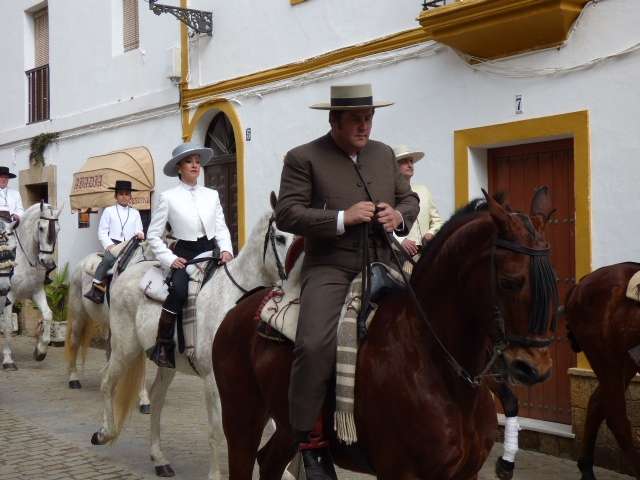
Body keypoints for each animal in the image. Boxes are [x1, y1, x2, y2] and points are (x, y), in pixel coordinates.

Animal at [1, 202, 60, 369]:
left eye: (58, 228)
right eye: (41, 228)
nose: (48, 263)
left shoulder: (37, 291)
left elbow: (48, 315)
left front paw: (40, 351)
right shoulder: (8, 295)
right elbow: (7, 325)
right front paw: (8, 360)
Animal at [64, 237, 153, 413]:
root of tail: (81, 264)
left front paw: (143, 399)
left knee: (110, 351)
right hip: (79, 318)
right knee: (74, 342)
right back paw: (74, 379)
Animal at [90, 194, 295, 480]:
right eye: (280, 237)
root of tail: (124, 273)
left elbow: (275, 426)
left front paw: (285, 472)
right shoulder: (213, 382)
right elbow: (217, 431)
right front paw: (215, 475)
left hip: (165, 362)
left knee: (156, 399)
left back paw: (159, 459)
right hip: (125, 348)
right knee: (107, 382)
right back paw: (103, 433)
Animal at [213, 188, 559, 480]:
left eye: (551, 277)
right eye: (510, 281)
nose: (534, 368)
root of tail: (238, 309)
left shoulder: (465, 474)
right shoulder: (400, 472)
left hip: (285, 426)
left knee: (269, 461)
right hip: (241, 420)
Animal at [565, 262, 640, 480]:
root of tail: (580, 285)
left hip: (626, 362)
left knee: (597, 402)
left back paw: (586, 468)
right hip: (605, 357)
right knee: (617, 419)